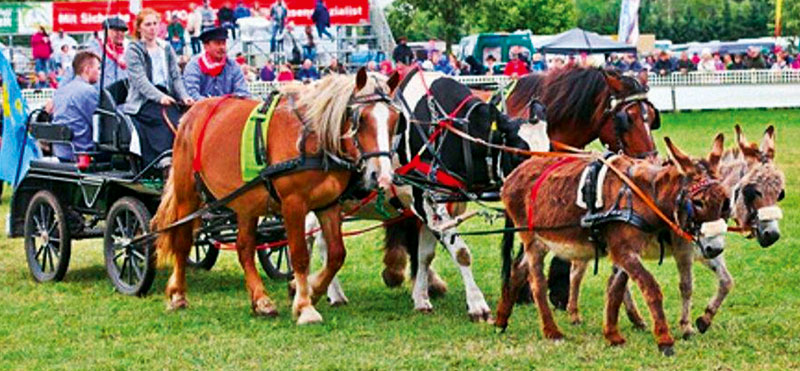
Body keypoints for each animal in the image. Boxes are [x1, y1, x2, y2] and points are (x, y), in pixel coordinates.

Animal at [152, 70, 400, 326]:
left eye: (395, 120)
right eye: (361, 120)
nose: (382, 175)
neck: (311, 139)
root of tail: (191, 112)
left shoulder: (329, 204)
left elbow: (336, 255)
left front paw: (312, 290)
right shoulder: (294, 204)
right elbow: (299, 255)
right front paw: (304, 306)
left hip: (246, 203)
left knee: (244, 248)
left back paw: (261, 301)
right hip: (188, 195)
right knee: (182, 241)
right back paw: (178, 294)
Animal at [500, 135, 732, 356]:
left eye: (726, 202)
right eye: (699, 202)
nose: (715, 248)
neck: (644, 196)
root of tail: (513, 175)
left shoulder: (625, 251)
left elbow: (616, 290)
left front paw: (613, 336)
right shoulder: (628, 250)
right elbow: (652, 287)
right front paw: (665, 339)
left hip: (543, 241)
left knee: (519, 269)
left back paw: (501, 320)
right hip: (532, 239)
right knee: (537, 283)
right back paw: (552, 331)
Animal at [564, 124, 784, 338]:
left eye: (780, 193)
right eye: (751, 192)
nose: (772, 236)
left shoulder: (705, 248)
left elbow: (726, 281)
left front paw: (704, 320)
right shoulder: (684, 249)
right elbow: (686, 286)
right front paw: (686, 327)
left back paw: (635, 319)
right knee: (576, 273)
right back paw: (574, 315)